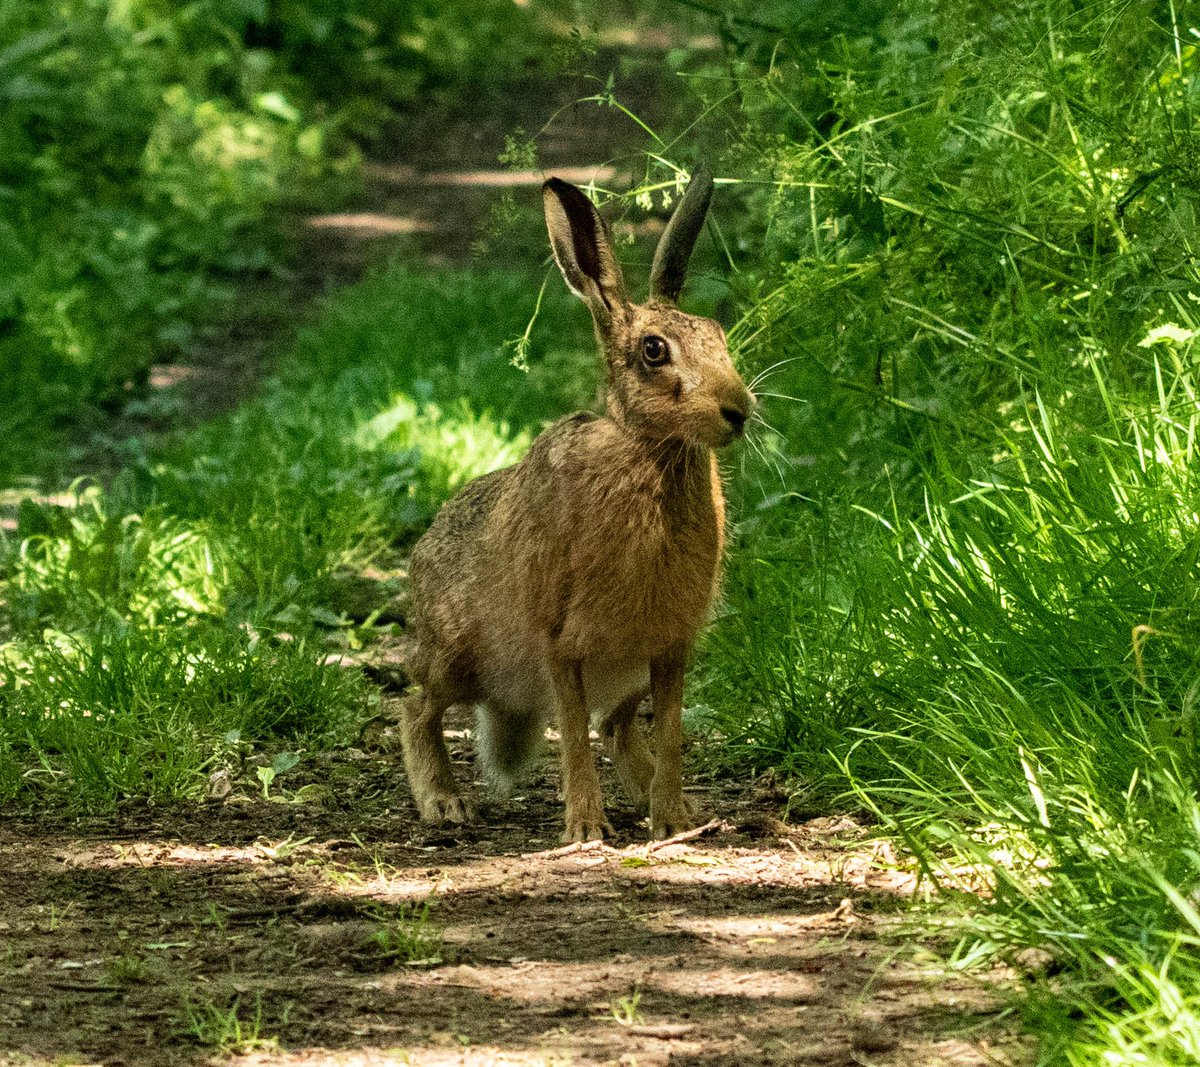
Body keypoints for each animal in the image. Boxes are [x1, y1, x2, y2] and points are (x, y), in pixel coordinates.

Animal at [400, 166, 754, 842]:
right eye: (653, 351)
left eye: (721, 337)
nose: (739, 410)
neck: (648, 452)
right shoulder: (562, 645)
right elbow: (571, 735)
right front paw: (586, 830)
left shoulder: (669, 648)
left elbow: (670, 733)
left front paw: (671, 821)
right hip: (455, 656)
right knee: (415, 706)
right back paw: (444, 803)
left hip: (626, 677)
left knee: (617, 728)